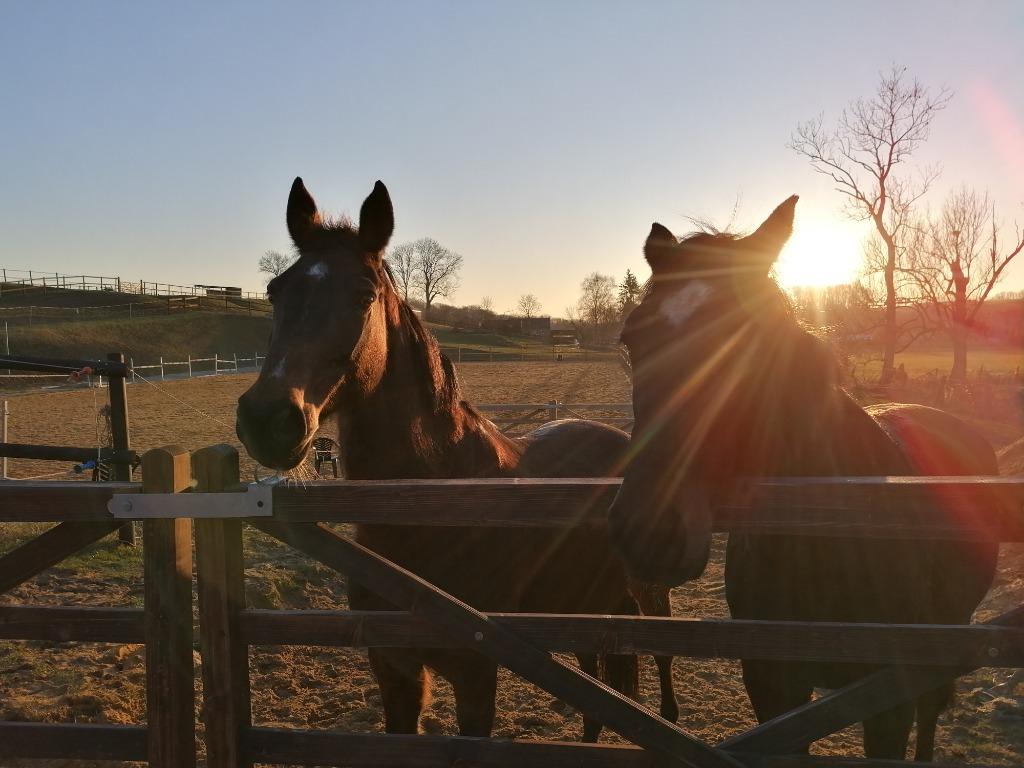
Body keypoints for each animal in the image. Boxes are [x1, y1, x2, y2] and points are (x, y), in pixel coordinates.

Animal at [235, 177, 678, 739]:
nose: (268, 419)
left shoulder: (475, 672)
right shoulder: (395, 670)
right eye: (276, 291)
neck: (435, 502)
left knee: (658, 659)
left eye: (363, 296)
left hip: (643, 596)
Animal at [607, 196, 998, 761]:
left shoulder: (888, 704)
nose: (649, 531)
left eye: (753, 338)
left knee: (931, 710)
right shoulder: (774, 689)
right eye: (632, 337)